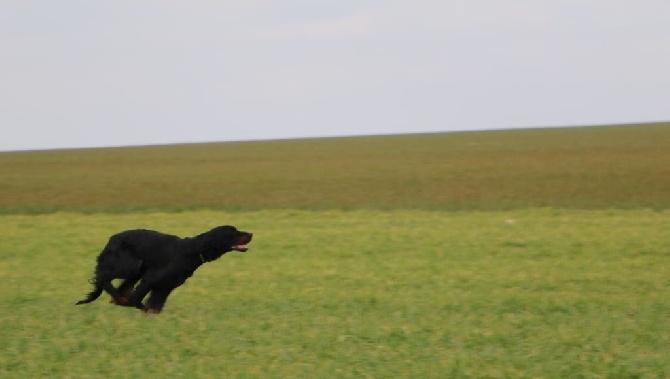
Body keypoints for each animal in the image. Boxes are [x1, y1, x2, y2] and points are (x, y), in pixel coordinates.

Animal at [76, 226, 253, 314]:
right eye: (234, 232)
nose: (251, 233)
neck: (193, 250)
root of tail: (112, 239)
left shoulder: (165, 286)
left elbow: (156, 305)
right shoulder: (151, 279)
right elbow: (139, 298)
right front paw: (138, 306)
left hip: (137, 269)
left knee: (121, 286)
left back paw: (118, 298)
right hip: (130, 265)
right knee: (102, 277)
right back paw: (119, 298)